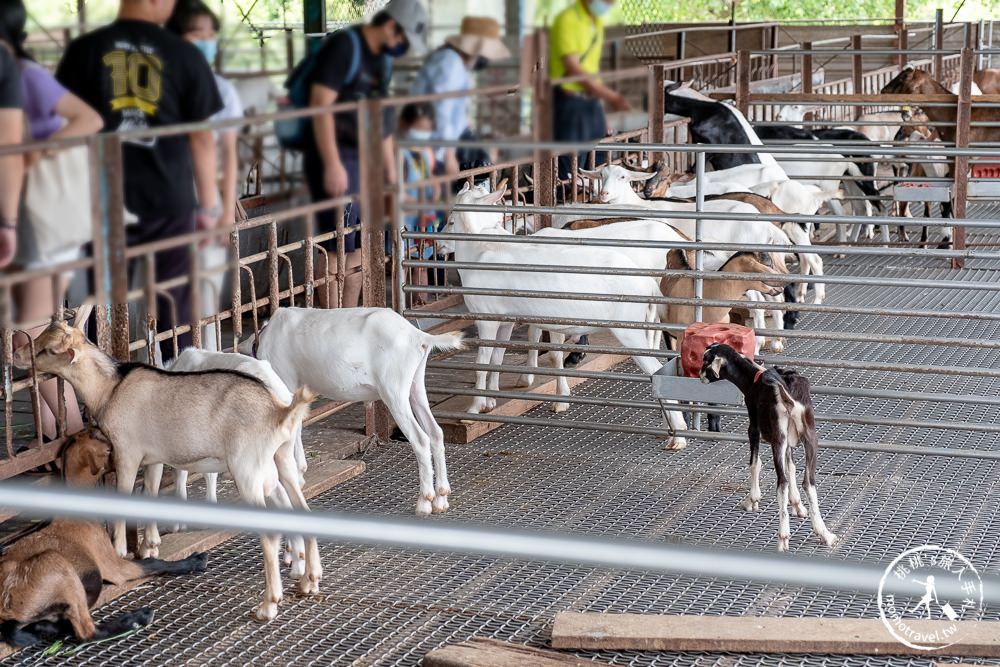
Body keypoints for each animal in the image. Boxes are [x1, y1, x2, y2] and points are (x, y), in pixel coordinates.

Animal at [0, 430, 207, 648]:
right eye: (108, 449)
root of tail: (6, 606)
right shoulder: (114, 565)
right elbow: (153, 563)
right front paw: (195, 560)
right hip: (55, 563)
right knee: (86, 633)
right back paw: (136, 618)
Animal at [240, 308, 462, 516]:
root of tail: (418, 336)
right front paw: (300, 474)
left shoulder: (286, 382)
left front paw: (296, 476)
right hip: (415, 386)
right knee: (435, 432)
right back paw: (441, 499)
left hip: (394, 391)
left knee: (420, 439)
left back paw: (424, 502)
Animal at [452, 183, 688, 448]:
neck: (479, 251)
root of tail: (647, 284)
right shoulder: (505, 318)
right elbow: (497, 357)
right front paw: (490, 401)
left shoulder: (486, 317)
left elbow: (481, 363)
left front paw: (473, 409)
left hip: (629, 328)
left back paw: (678, 436)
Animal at [700, 344, 840, 552]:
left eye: (706, 361)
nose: (699, 376)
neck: (752, 379)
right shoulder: (790, 442)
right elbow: (792, 467)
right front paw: (797, 505)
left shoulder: (754, 427)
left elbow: (755, 463)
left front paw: (752, 500)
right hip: (809, 436)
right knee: (809, 481)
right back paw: (825, 534)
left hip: (778, 438)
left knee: (781, 482)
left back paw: (783, 537)